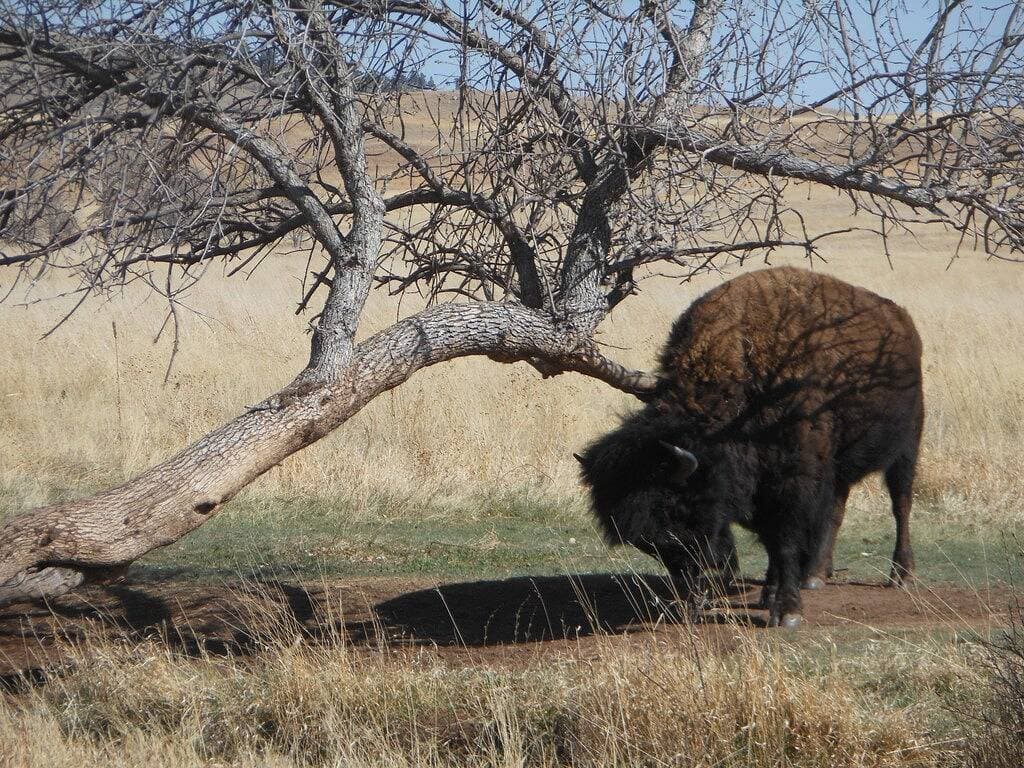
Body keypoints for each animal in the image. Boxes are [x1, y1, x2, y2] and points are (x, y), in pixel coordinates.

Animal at [576, 267, 923, 628]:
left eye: (681, 509)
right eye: (647, 544)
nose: (704, 579)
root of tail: (902, 321)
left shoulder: (792, 480)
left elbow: (785, 541)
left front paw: (788, 611)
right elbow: (774, 542)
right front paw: (770, 594)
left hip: (906, 446)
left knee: (900, 504)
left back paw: (901, 575)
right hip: (839, 465)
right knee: (837, 509)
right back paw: (816, 574)